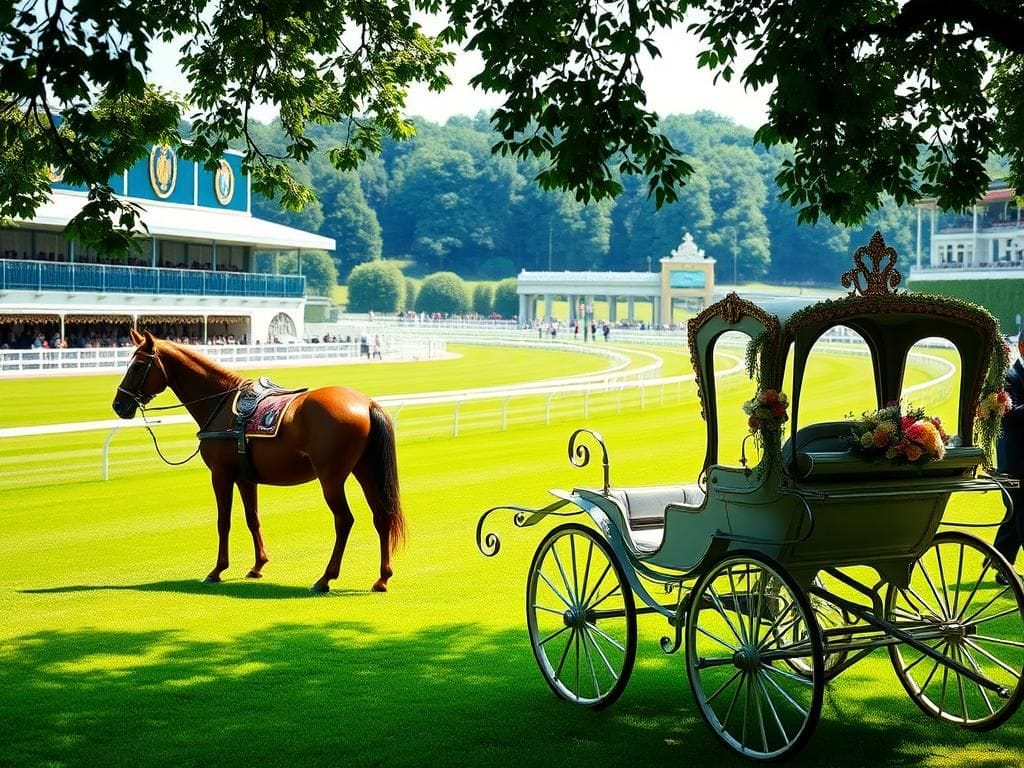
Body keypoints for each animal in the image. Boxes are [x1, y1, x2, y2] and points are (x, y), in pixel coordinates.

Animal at [112, 329, 405, 593]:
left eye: (138, 366)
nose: (118, 405)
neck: (222, 403)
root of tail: (367, 403)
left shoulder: (220, 474)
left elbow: (223, 521)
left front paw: (217, 570)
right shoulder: (245, 477)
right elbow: (252, 518)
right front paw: (258, 565)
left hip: (331, 478)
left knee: (344, 520)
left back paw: (325, 578)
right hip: (366, 472)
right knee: (382, 516)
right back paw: (382, 578)